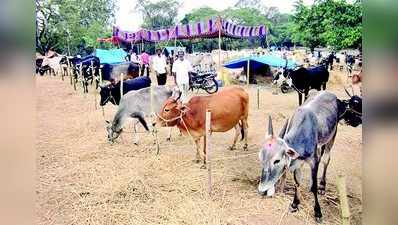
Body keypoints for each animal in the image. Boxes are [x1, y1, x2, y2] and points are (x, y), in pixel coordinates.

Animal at [256, 90, 362, 223]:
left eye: (277, 160)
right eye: (261, 158)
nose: (262, 190)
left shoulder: (313, 162)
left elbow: (314, 186)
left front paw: (318, 212)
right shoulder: (297, 163)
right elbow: (297, 183)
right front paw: (295, 204)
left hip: (332, 136)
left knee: (326, 160)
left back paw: (322, 185)